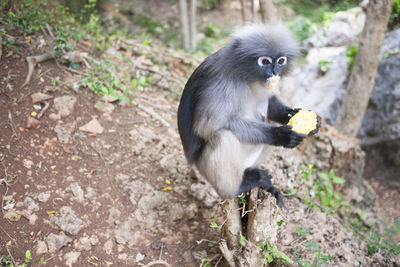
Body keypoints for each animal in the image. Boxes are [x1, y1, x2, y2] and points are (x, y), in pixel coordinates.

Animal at [177, 24, 320, 207]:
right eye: (265, 61)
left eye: (281, 61)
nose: (275, 72)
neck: (249, 77)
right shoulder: (221, 85)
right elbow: (207, 126)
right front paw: (279, 134)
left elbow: (270, 102)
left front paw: (300, 117)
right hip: (206, 167)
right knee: (223, 136)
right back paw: (237, 188)